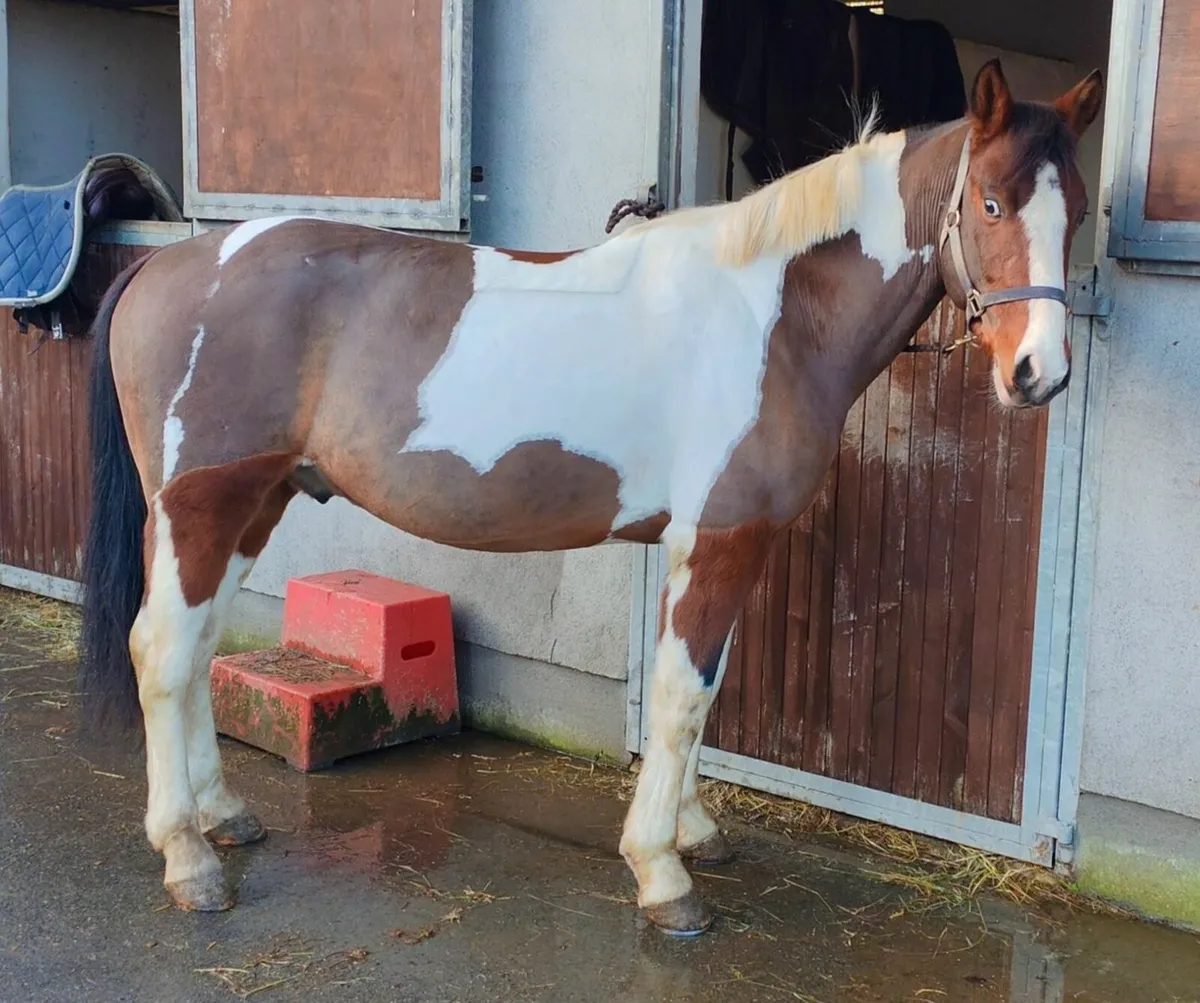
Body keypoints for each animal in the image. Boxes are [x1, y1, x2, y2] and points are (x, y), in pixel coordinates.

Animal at [77, 59, 1102, 936]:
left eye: (1080, 210)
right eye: (990, 201)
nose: (1039, 374)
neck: (770, 314)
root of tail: (168, 265)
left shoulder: (719, 544)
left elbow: (704, 689)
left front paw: (692, 831)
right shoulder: (721, 538)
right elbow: (683, 695)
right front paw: (664, 874)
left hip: (259, 501)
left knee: (200, 645)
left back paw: (223, 811)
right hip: (202, 506)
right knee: (163, 651)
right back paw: (188, 858)